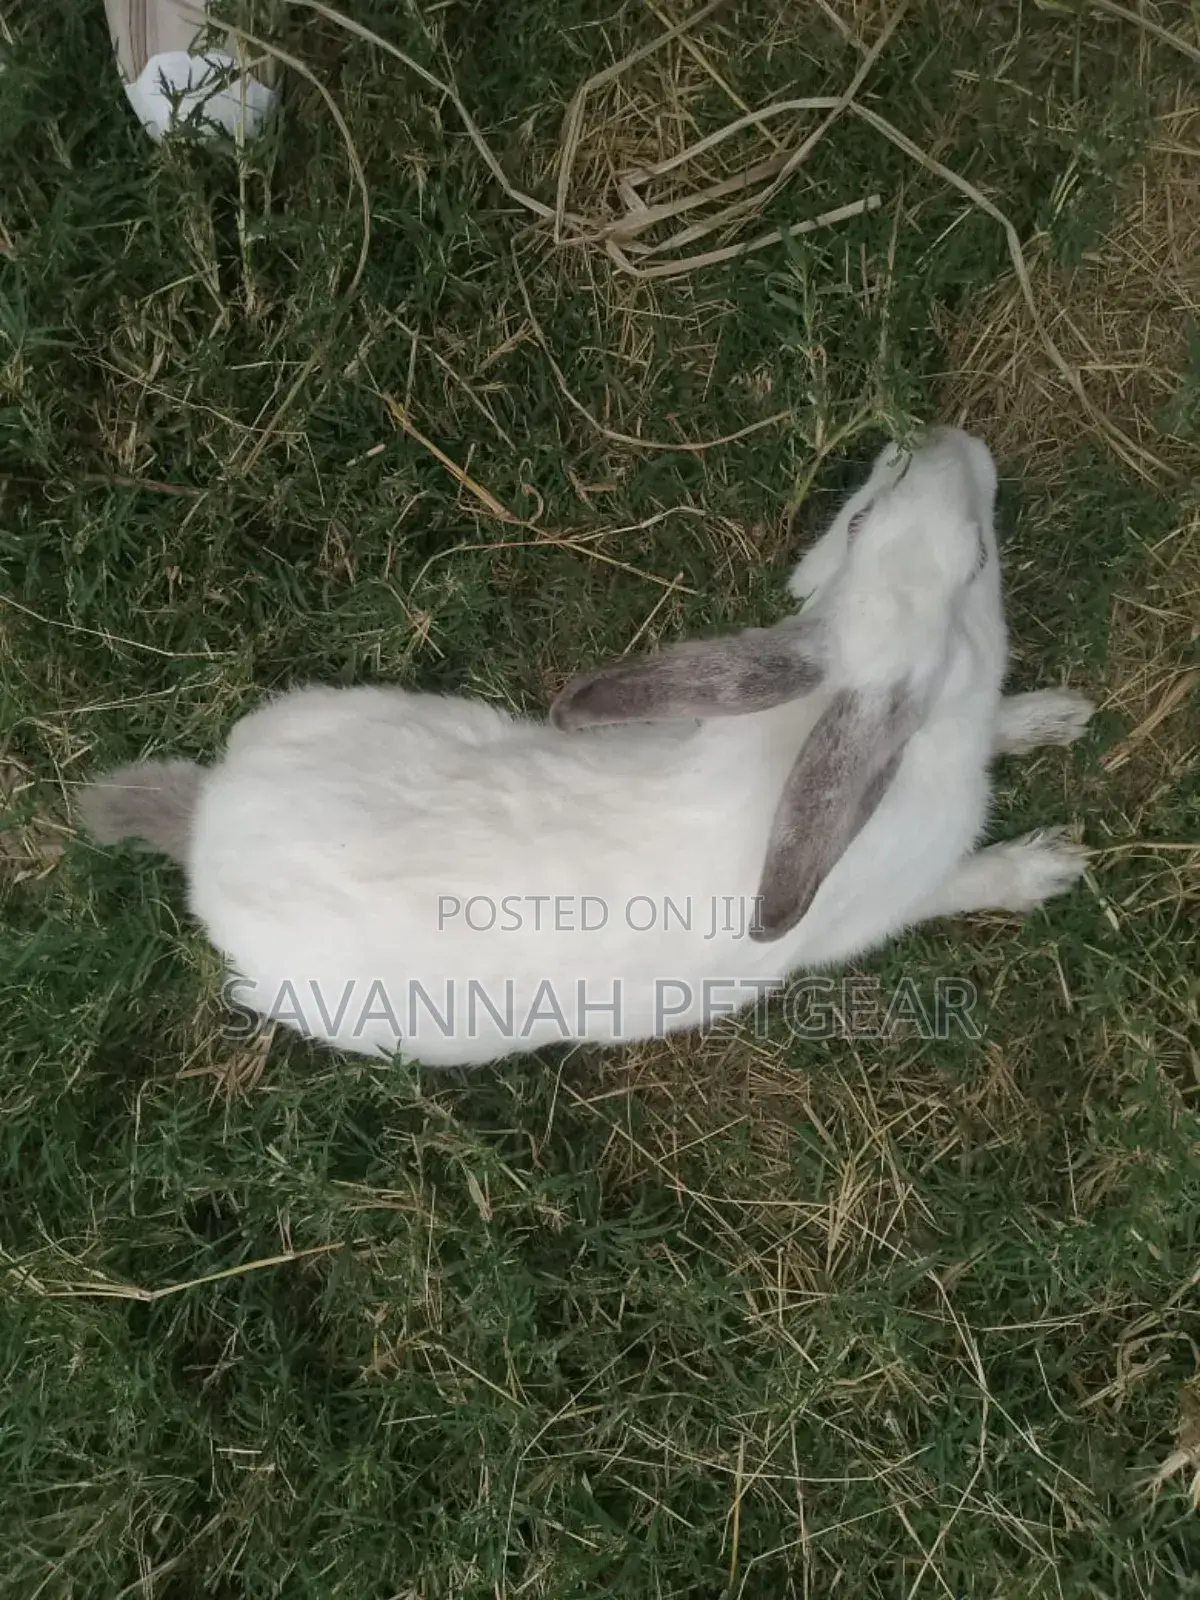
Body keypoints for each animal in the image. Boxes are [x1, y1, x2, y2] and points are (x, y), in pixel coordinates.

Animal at [79, 425, 1095, 1067]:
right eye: (979, 561)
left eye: (857, 520)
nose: (943, 438)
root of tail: (206, 827)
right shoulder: (898, 901)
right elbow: (969, 883)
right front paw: (1048, 867)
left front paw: (1056, 716)